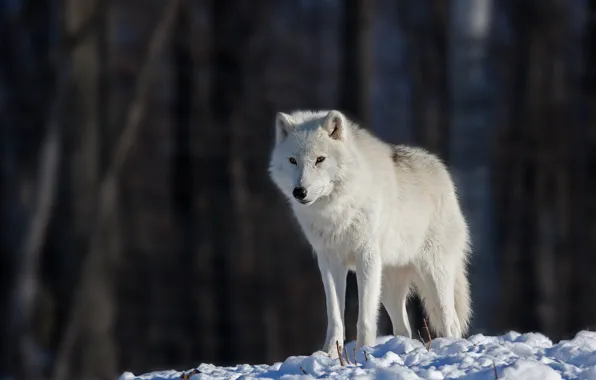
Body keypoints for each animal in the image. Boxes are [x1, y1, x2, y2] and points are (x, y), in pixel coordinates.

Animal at [268, 109, 470, 356]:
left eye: (320, 159)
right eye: (292, 160)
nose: (300, 191)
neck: (336, 211)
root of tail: (441, 170)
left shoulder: (366, 256)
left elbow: (364, 316)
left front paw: (363, 351)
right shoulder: (329, 261)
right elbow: (335, 314)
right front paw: (330, 354)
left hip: (433, 274)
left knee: (451, 321)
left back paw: (450, 348)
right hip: (388, 286)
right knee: (404, 328)